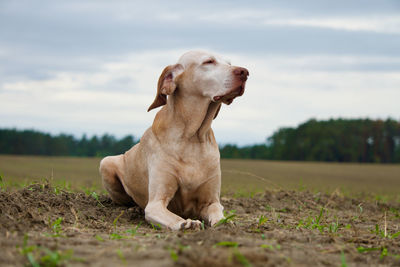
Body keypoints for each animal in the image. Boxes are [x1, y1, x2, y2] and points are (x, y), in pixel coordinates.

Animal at [99, 50, 248, 230]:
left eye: (229, 63)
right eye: (208, 61)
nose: (245, 72)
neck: (193, 138)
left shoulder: (211, 201)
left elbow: (217, 212)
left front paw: (225, 223)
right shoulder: (156, 204)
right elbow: (173, 217)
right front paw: (187, 223)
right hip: (106, 162)